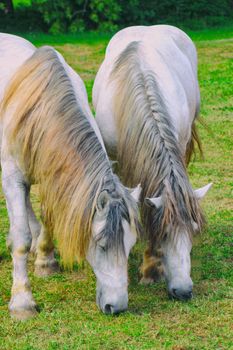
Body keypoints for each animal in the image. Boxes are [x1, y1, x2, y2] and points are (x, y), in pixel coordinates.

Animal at [0, 34, 141, 320]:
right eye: (100, 244)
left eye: (131, 244)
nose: (116, 307)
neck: (40, 107)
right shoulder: (11, 177)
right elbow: (20, 239)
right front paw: (22, 302)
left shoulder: (54, 176)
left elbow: (49, 217)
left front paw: (45, 259)